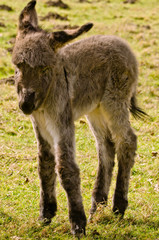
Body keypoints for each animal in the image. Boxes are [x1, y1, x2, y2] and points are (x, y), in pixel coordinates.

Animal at [12, 0, 147, 236]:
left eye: (44, 69)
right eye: (18, 67)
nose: (26, 105)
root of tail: (122, 43)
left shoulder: (61, 122)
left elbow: (66, 167)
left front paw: (77, 223)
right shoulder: (40, 125)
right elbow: (44, 163)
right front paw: (45, 215)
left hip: (114, 104)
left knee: (127, 142)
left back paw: (118, 207)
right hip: (95, 110)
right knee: (107, 146)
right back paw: (97, 207)